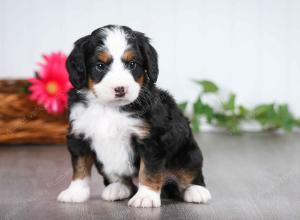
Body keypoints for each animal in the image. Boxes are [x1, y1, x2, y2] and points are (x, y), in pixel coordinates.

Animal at [56, 24, 211, 207]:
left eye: (132, 64)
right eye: (100, 66)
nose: (120, 89)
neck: (109, 108)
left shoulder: (152, 139)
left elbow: (149, 170)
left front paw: (146, 196)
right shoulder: (79, 135)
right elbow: (80, 167)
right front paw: (75, 192)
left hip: (188, 153)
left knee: (191, 173)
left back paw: (196, 191)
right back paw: (118, 188)